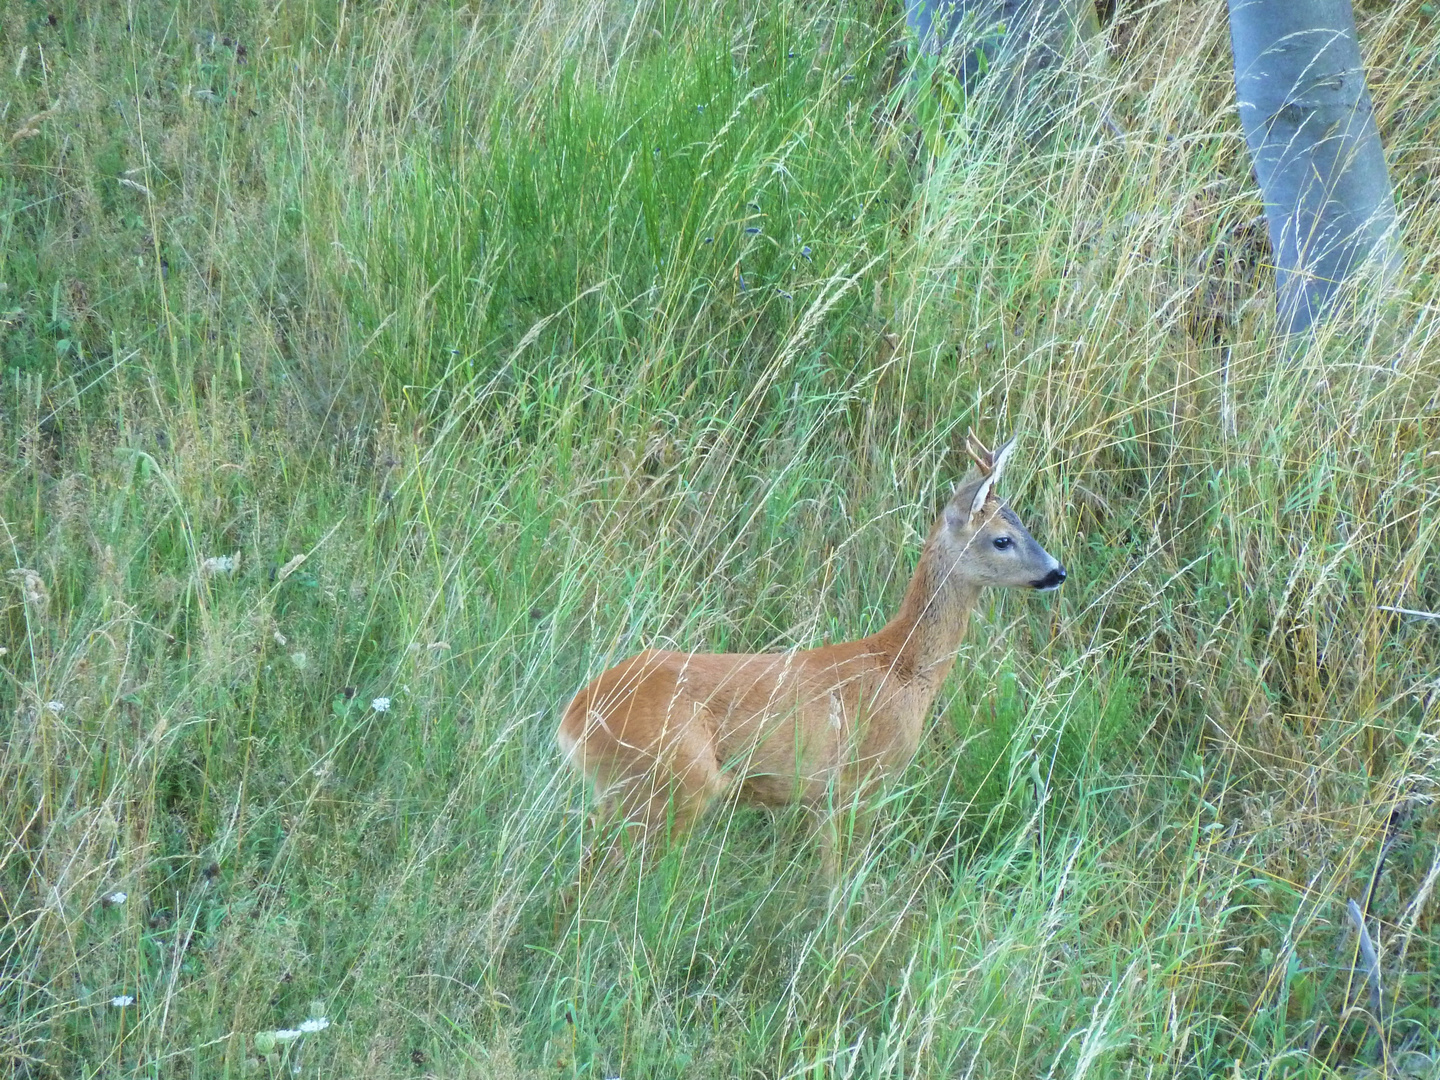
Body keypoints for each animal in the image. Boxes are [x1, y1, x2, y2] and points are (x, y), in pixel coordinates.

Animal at [555, 434, 1065, 875]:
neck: (900, 668)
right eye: (1002, 538)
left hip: (626, 792)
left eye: (1023, 524)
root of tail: (574, 718)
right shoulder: (858, 783)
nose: (1057, 572)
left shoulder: (821, 797)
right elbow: (838, 880)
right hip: (673, 784)